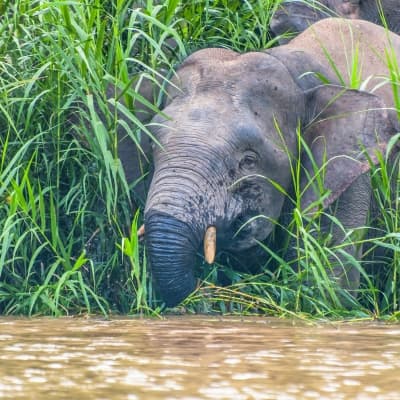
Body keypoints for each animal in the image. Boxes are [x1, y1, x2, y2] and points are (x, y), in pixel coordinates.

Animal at [130, 18, 396, 306]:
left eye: (249, 160)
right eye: (151, 145)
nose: (203, 284)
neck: (290, 66)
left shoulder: (348, 173)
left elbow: (329, 289)